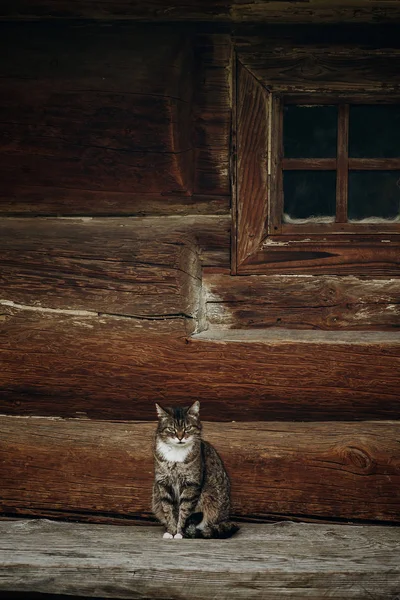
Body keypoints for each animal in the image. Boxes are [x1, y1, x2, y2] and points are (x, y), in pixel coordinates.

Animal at [150, 404, 238, 540]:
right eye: (171, 429)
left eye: (188, 428)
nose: (180, 437)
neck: (176, 453)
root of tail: (225, 519)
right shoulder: (164, 484)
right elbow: (168, 510)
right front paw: (171, 531)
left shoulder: (191, 485)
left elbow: (184, 512)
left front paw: (179, 533)